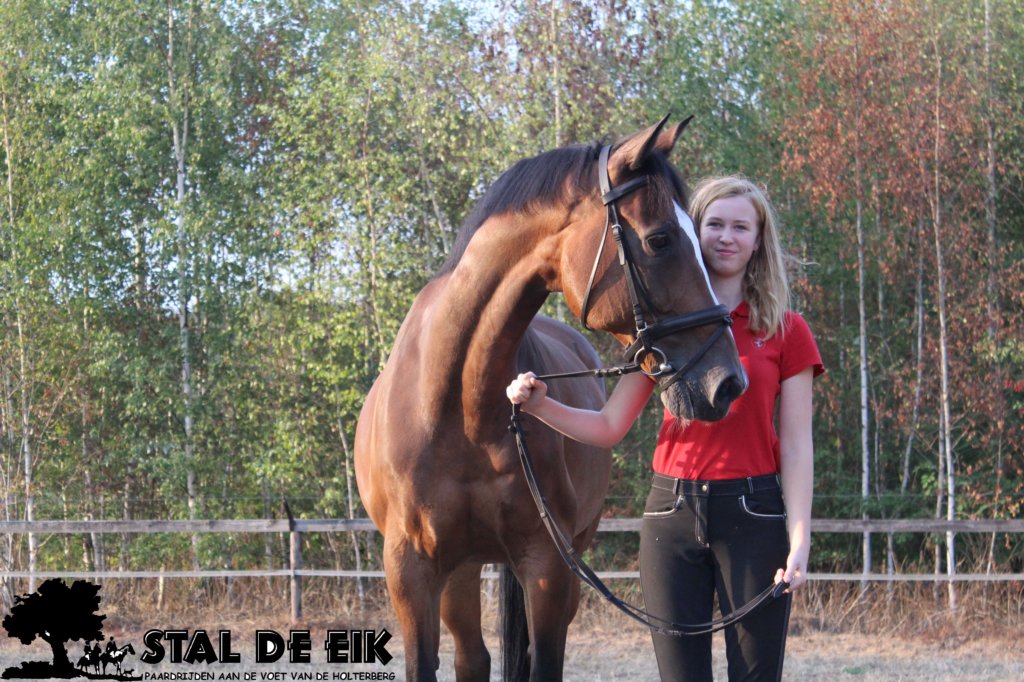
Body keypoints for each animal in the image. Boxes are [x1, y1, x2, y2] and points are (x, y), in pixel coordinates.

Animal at [354, 117, 747, 681]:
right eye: (660, 239)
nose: (727, 383)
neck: (458, 409)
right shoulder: (410, 570)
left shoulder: (547, 565)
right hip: (460, 569)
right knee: (472, 658)